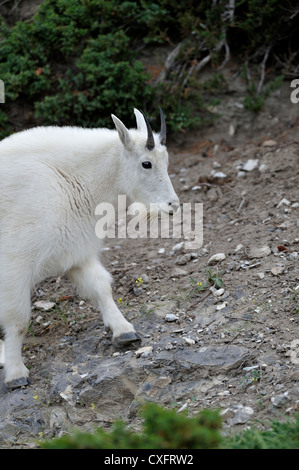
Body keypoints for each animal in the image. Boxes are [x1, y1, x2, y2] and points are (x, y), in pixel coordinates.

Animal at [0, 109, 180, 390]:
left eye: (167, 160)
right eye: (146, 164)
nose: (173, 205)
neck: (70, 181)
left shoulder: (77, 253)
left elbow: (101, 287)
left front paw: (124, 331)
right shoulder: (14, 264)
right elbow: (18, 320)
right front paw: (16, 373)